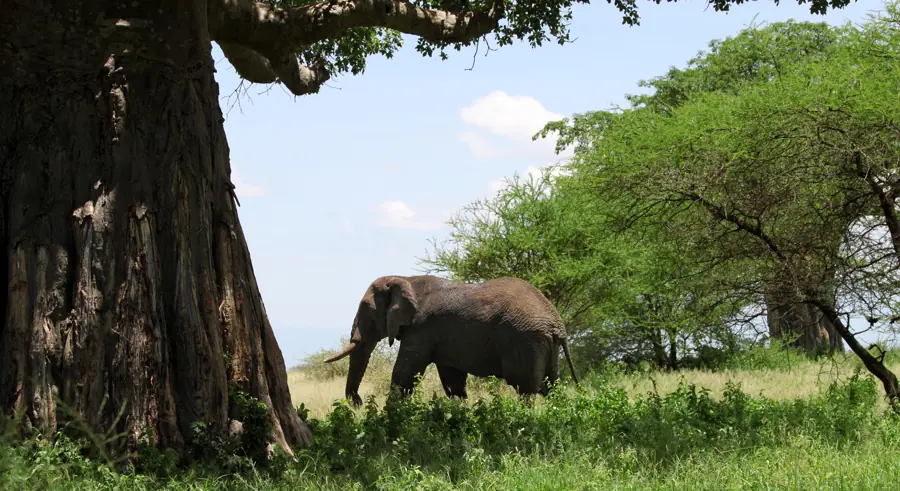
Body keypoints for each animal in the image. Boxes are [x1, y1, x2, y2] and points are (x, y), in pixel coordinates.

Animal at [324, 274, 579, 407]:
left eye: (366, 310)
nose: (358, 402)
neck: (406, 279)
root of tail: (557, 324)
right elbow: (452, 380)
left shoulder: (421, 329)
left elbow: (405, 372)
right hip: (544, 344)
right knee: (551, 386)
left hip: (526, 341)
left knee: (525, 388)